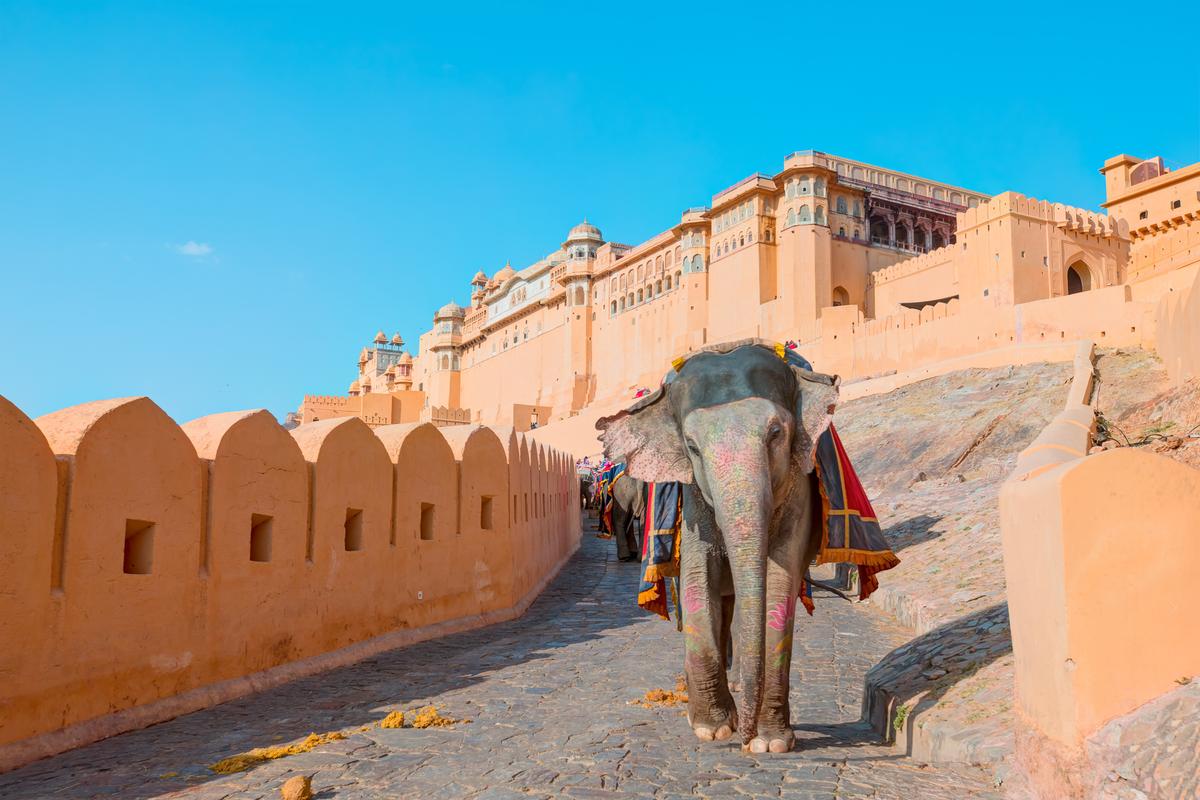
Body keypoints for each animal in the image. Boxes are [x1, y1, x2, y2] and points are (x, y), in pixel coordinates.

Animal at [597, 342, 839, 754]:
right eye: (692, 447)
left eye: (776, 433)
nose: (746, 739)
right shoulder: (692, 496)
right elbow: (698, 579)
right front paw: (713, 728)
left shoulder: (799, 483)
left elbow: (779, 584)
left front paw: (771, 741)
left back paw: (739, 680)